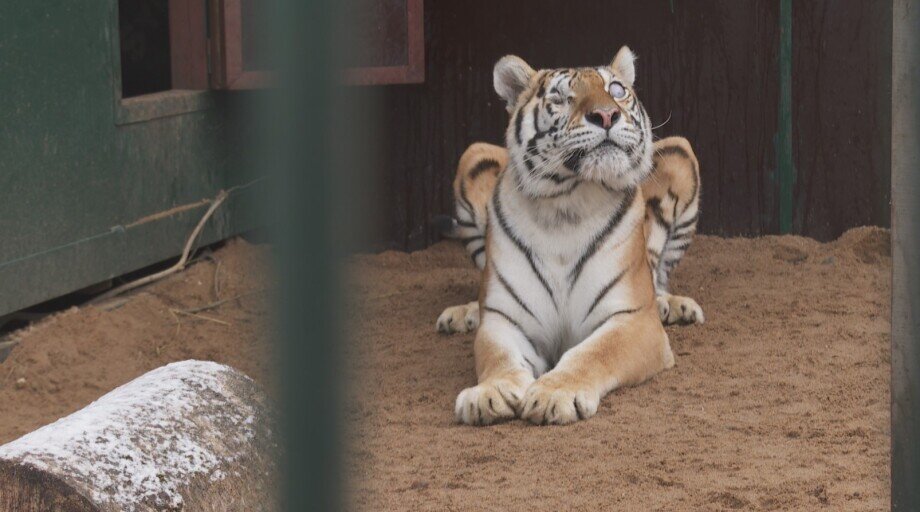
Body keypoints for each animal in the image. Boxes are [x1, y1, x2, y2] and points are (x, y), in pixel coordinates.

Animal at [434, 48, 704, 426]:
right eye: (561, 98)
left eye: (616, 90)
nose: (606, 115)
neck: (567, 204)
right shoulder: (506, 322)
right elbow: (499, 358)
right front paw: (490, 393)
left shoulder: (632, 320)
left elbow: (592, 354)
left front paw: (554, 393)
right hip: (472, 154)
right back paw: (465, 312)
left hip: (681, 151)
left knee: (659, 278)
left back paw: (672, 304)